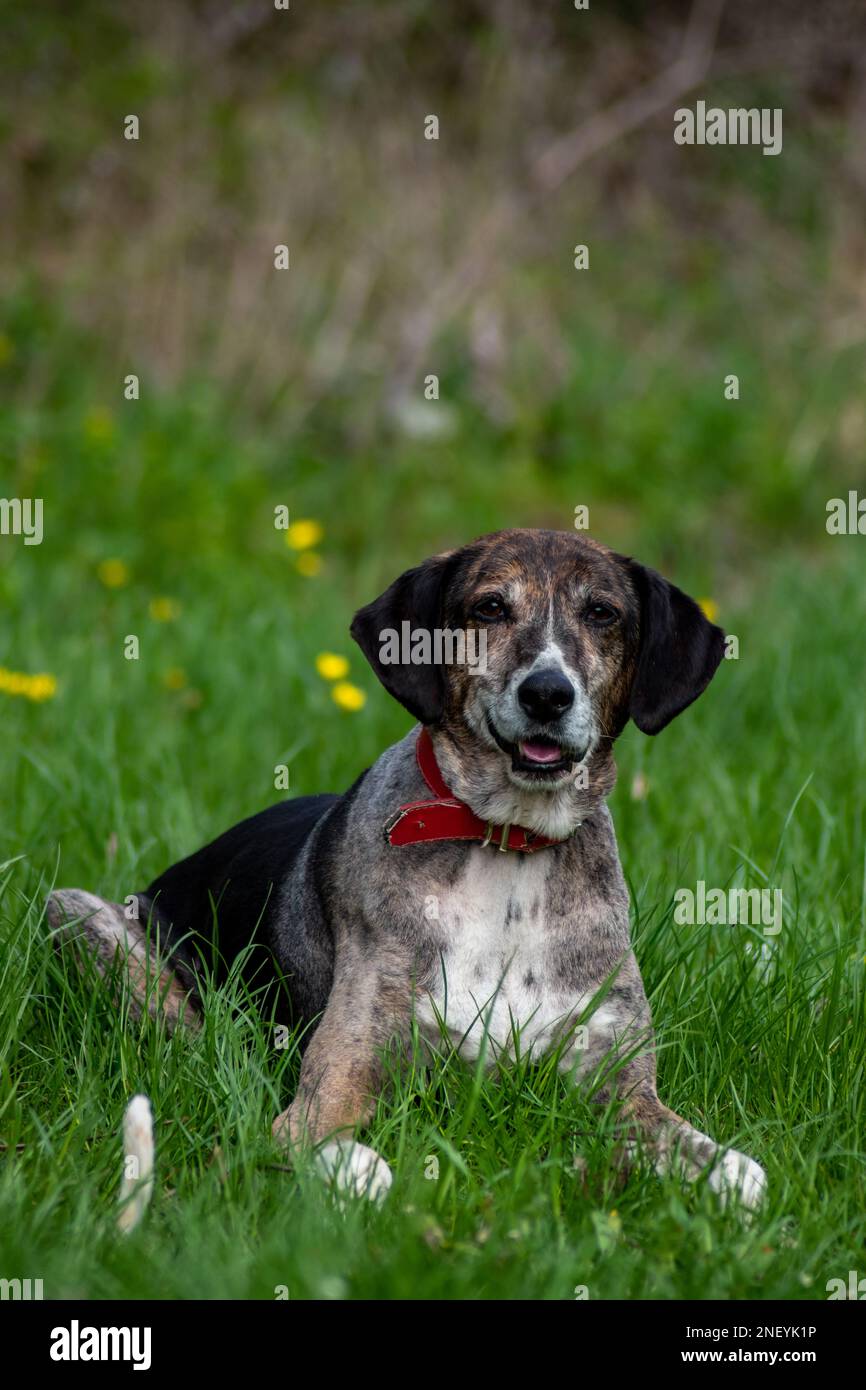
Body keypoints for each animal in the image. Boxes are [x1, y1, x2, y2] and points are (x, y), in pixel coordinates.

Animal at [47, 528, 767, 1206]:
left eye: (602, 613)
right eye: (489, 607)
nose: (547, 694)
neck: (509, 847)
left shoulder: (618, 1081)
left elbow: (728, 1164)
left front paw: (734, 1186)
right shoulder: (339, 1082)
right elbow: (352, 1155)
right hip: (79, 913)